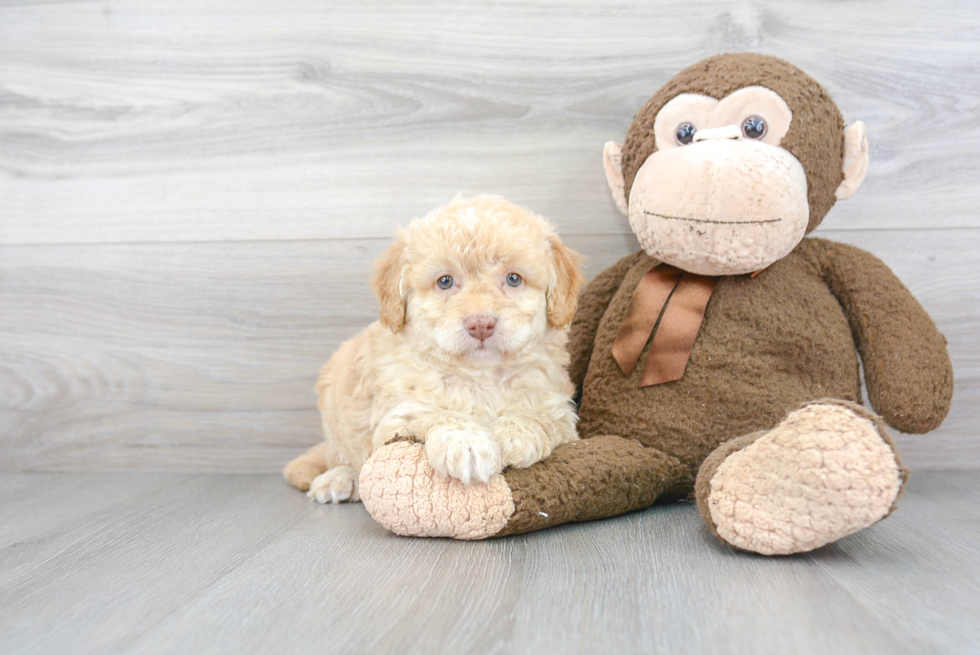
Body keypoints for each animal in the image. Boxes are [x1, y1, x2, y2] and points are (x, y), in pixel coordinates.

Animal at [288, 193, 584, 502]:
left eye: (514, 278)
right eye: (445, 281)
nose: (481, 324)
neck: (481, 375)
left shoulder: (560, 409)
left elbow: (543, 416)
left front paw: (517, 433)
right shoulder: (398, 411)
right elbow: (434, 412)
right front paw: (465, 443)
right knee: (343, 457)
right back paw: (337, 479)